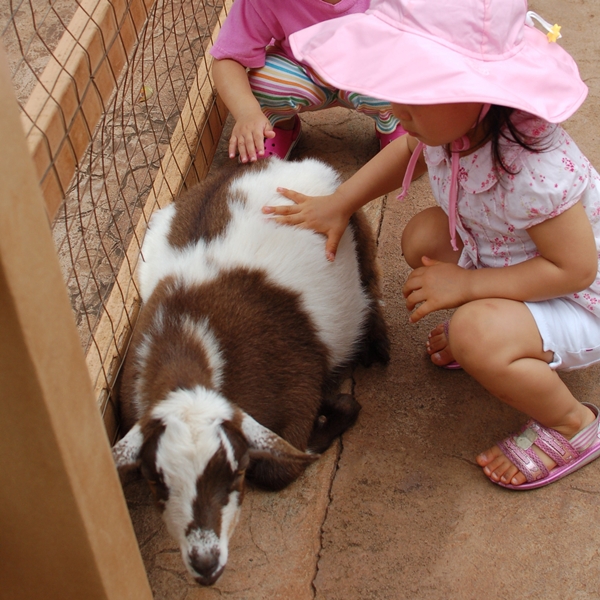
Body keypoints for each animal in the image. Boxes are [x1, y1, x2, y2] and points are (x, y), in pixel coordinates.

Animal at [112, 157, 390, 584]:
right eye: (156, 481)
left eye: (235, 472)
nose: (206, 563)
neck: (184, 337)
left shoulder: (296, 388)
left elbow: (280, 468)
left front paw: (338, 405)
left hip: (356, 228)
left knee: (372, 282)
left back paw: (377, 343)